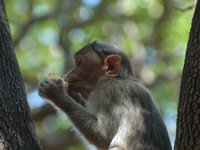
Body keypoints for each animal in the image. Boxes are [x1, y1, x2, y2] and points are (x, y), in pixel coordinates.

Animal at [38, 40, 172, 150]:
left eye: (79, 63)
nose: (69, 74)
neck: (115, 78)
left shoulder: (108, 92)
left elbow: (104, 137)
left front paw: (55, 92)